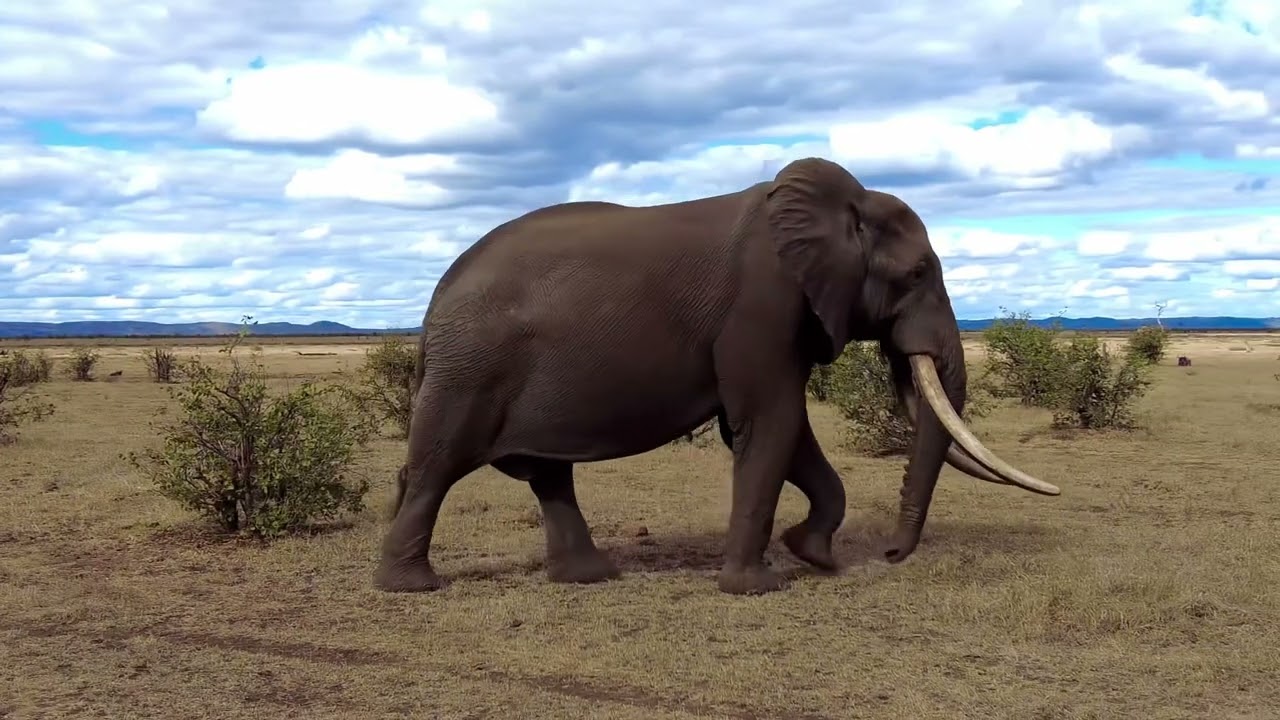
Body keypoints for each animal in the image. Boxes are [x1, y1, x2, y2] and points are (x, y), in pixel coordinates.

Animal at [375, 157, 1060, 596]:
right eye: (917, 273)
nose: (891, 554)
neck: (838, 206)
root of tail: (434, 303)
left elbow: (776, 430)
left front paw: (812, 554)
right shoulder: (763, 303)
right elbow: (770, 422)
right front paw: (758, 587)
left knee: (548, 474)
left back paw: (589, 578)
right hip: (470, 370)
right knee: (437, 465)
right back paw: (410, 588)